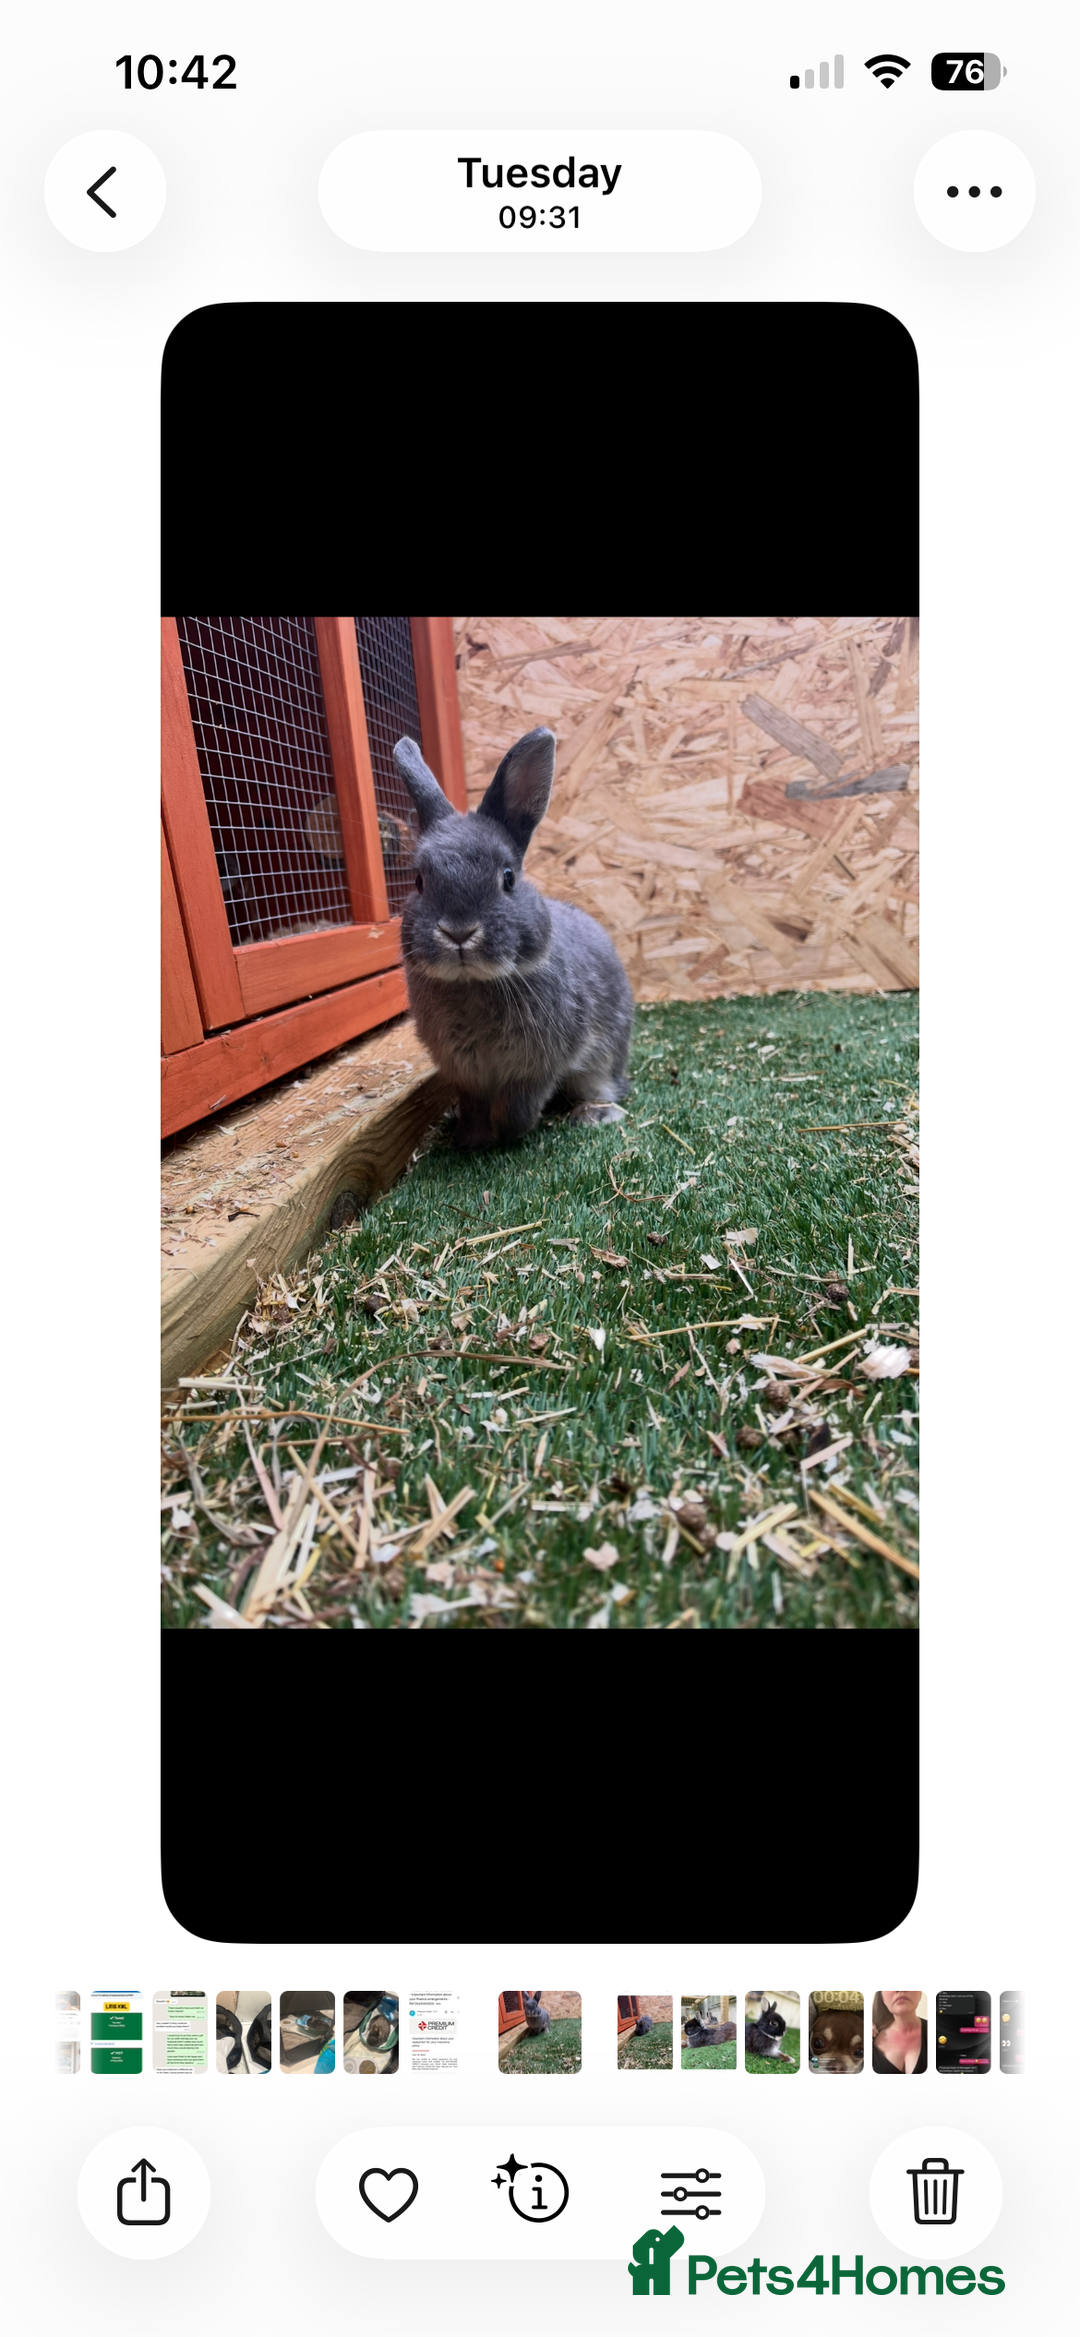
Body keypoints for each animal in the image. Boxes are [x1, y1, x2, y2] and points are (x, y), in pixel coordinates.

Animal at [393, 729, 634, 1150]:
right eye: (419, 881)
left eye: (507, 878)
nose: (459, 932)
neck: (472, 984)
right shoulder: (466, 1074)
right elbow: (473, 1106)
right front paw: (470, 1141)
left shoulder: (535, 1069)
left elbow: (517, 1107)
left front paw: (506, 1134)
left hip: (605, 1056)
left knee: (605, 1085)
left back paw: (595, 1115)